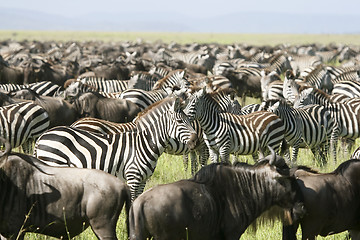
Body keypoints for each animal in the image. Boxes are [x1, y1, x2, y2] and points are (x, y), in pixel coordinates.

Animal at [33, 96, 197, 201]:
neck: (145, 142)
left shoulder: (143, 180)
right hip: (54, 162)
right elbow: (132, 203)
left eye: (190, 120)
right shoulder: (133, 177)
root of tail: (42, 136)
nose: (195, 140)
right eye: (180, 121)